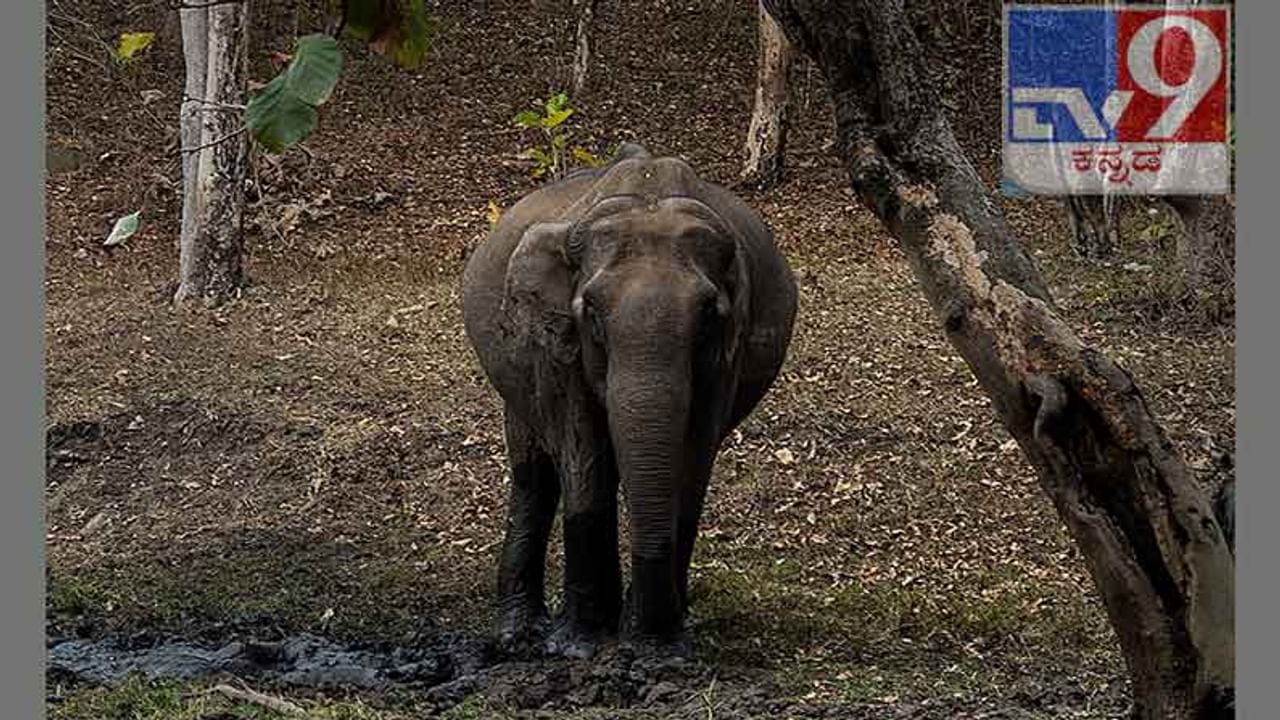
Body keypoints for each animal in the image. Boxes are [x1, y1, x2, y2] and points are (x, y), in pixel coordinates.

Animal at [460, 141, 798, 655]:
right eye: (592, 313)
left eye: (707, 315)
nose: (658, 629)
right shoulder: (556, 342)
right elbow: (584, 458)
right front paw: (579, 646)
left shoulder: (728, 353)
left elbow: (691, 461)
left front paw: (656, 645)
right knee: (534, 472)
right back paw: (520, 635)